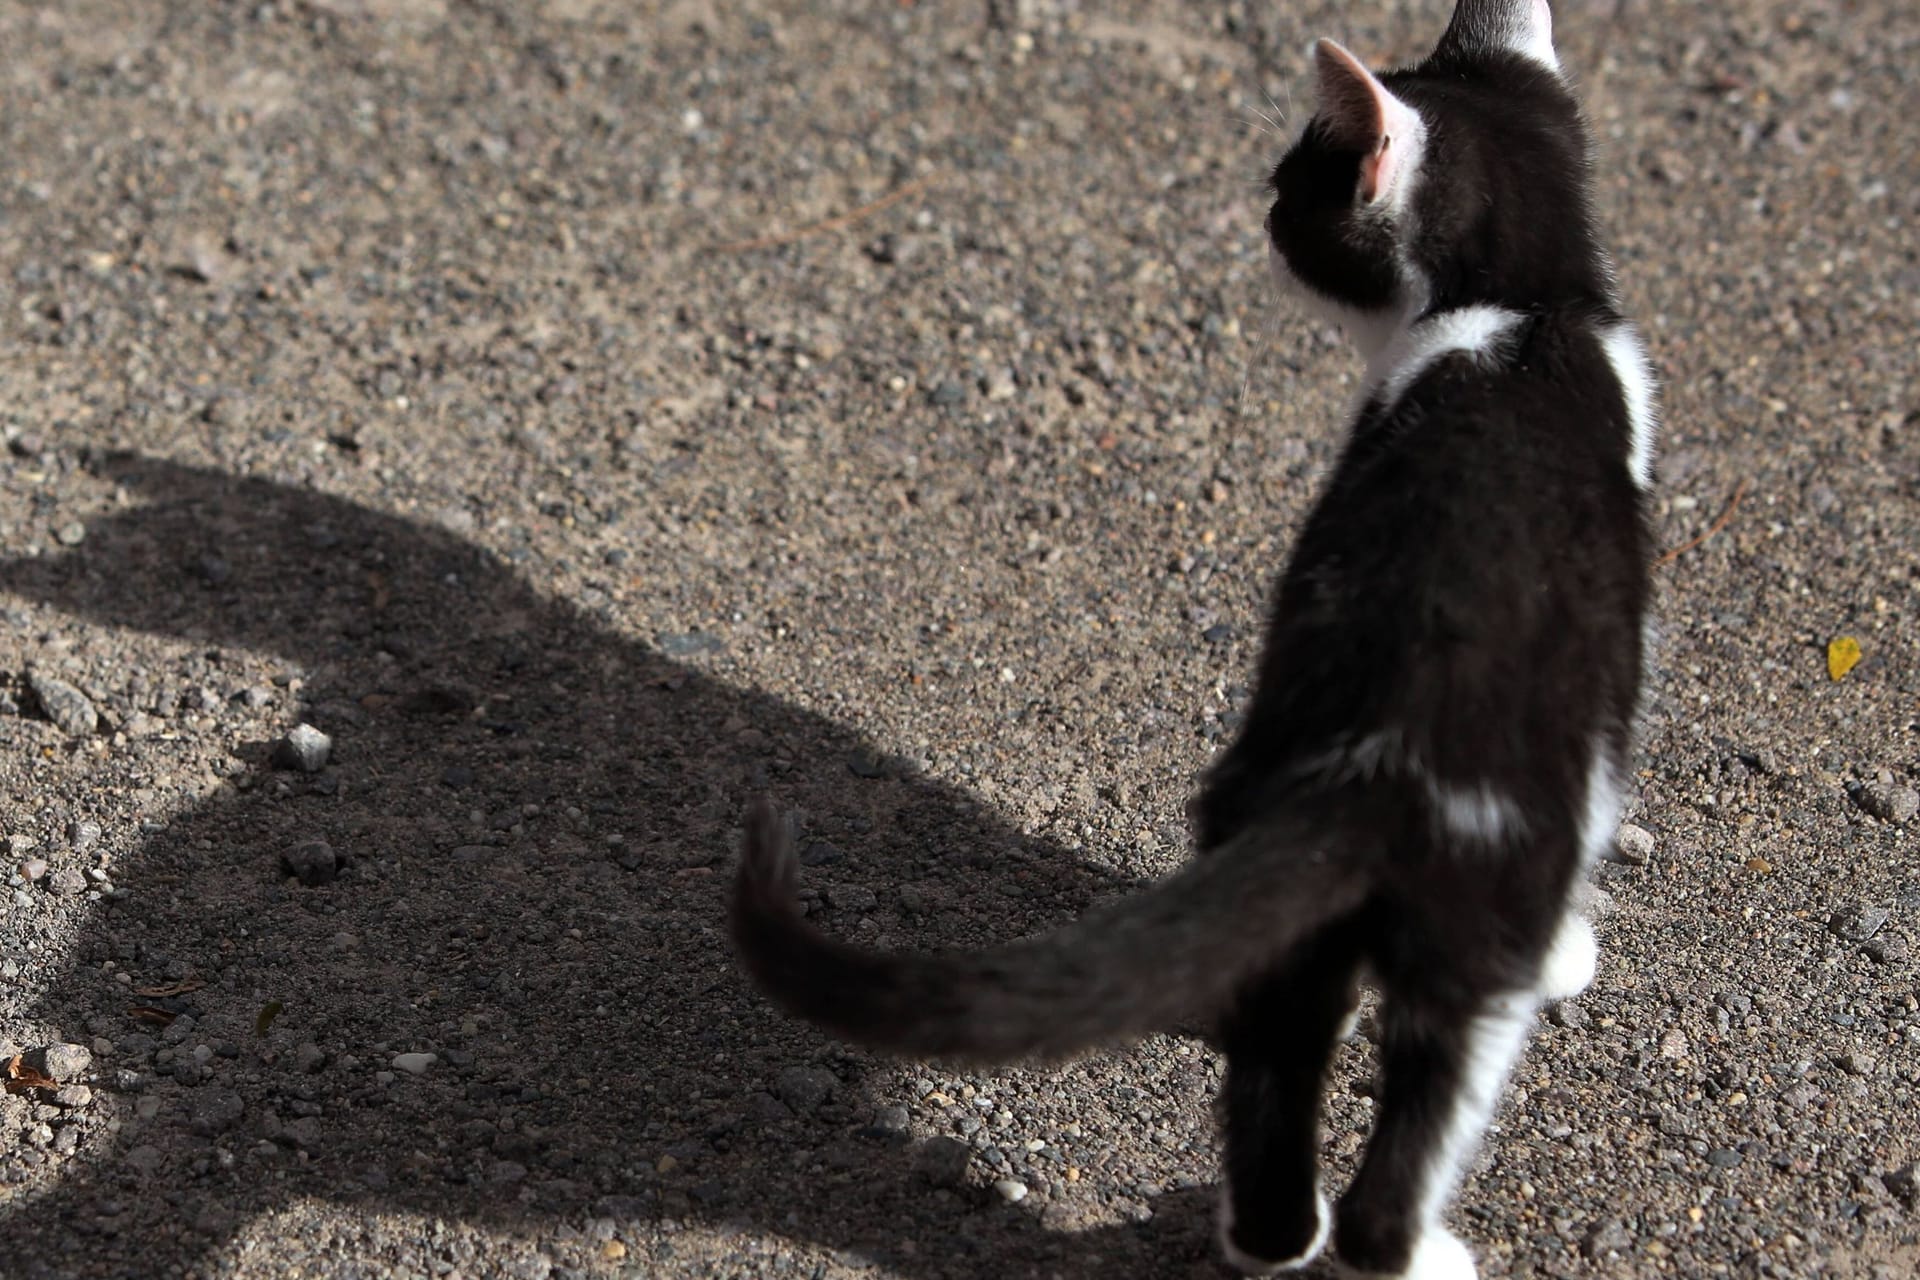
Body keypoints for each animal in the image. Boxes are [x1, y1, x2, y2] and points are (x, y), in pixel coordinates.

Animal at [725, 5, 1658, 1274]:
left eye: (1292, 188)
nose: (1262, 219)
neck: (1516, 310)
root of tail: (1362, 774)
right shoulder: (1600, 706)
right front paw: (1573, 950)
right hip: (1476, 919)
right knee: (1411, 1133)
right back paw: (1416, 1248)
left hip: (1292, 890)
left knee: (1276, 1071)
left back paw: (1258, 1234)